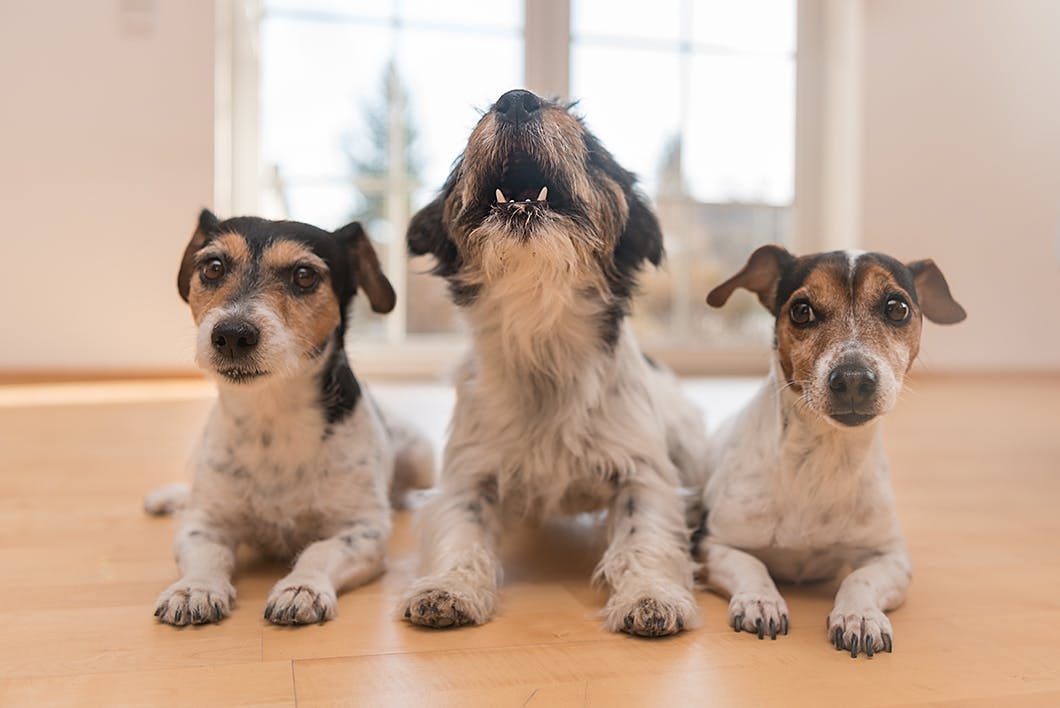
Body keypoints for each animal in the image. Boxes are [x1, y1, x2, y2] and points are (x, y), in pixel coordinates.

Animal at [147, 208, 432, 623]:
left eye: (304, 275)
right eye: (213, 267)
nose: (232, 334)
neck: (272, 416)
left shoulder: (362, 530)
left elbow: (320, 551)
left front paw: (302, 587)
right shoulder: (205, 524)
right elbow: (207, 553)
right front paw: (194, 588)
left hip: (420, 456)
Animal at [394, 88, 708, 635]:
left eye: (589, 143)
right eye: (474, 129)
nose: (515, 99)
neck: (541, 334)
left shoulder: (643, 474)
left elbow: (644, 537)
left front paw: (650, 595)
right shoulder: (468, 474)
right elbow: (459, 530)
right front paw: (448, 588)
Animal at [695, 245, 970, 657]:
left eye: (897, 308)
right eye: (801, 310)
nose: (853, 379)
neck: (821, 456)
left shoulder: (891, 558)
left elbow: (860, 580)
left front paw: (860, 616)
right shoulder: (711, 545)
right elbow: (751, 566)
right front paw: (761, 600)